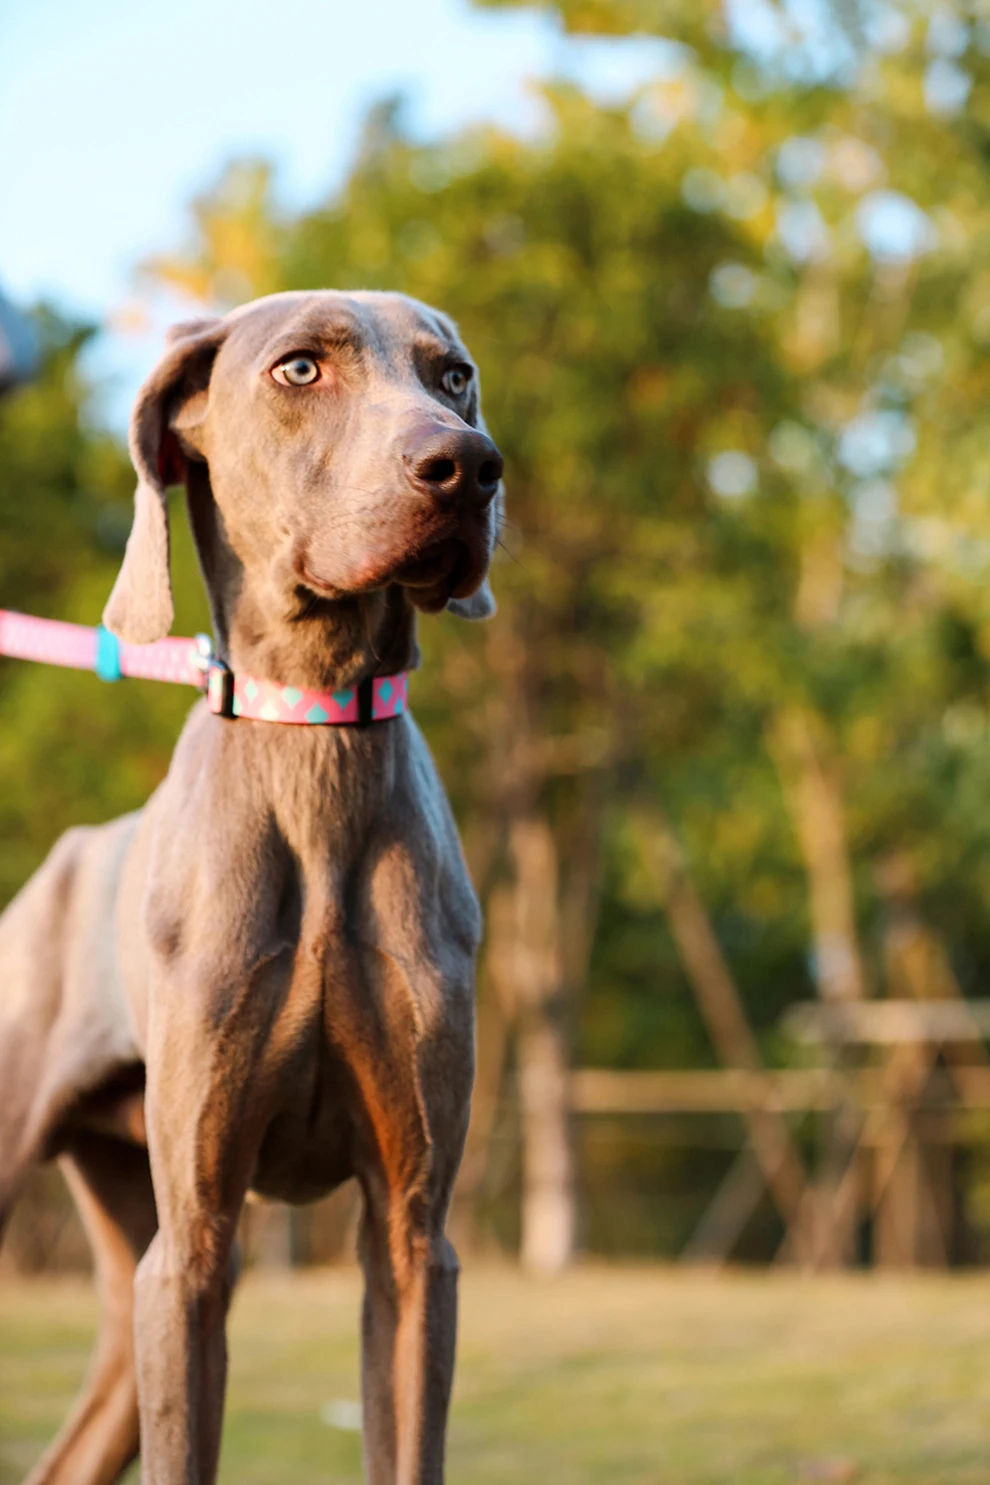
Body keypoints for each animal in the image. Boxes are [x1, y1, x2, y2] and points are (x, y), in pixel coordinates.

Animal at [0, 283, 504, 1479]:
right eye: (299, 369)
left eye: (454, 374)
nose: (469, 466)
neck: (313, 729)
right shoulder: (192, 1247)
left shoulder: (413, 1233)